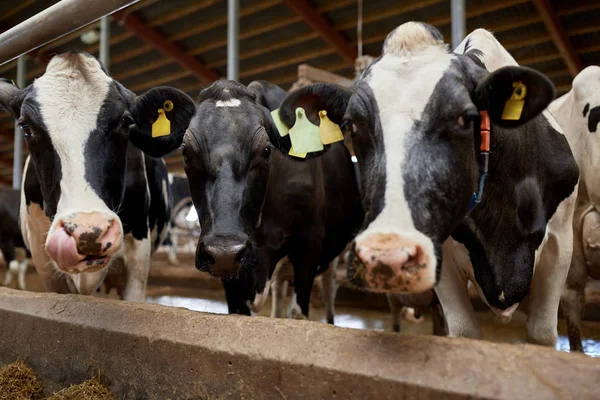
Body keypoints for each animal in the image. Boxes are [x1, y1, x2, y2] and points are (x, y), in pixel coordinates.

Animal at [127, 79, 360, 316]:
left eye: (266, 150)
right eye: (186, 153)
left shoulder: (308, 249)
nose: (224, 251)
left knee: (329, 292)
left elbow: (296, 312)